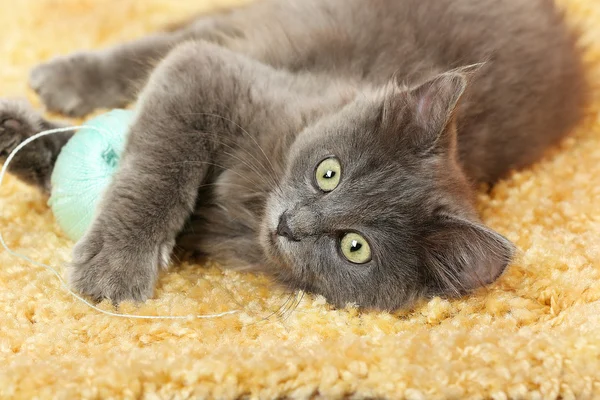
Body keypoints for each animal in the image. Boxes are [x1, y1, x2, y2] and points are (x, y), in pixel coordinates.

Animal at [0, 0, 584, 310]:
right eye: (329, 172)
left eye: (355, 247)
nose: (292, 224)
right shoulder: (209, 72)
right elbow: (153, 172)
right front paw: (111, 268)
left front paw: (26, 147)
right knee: (161, 43)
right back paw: (57, 81)